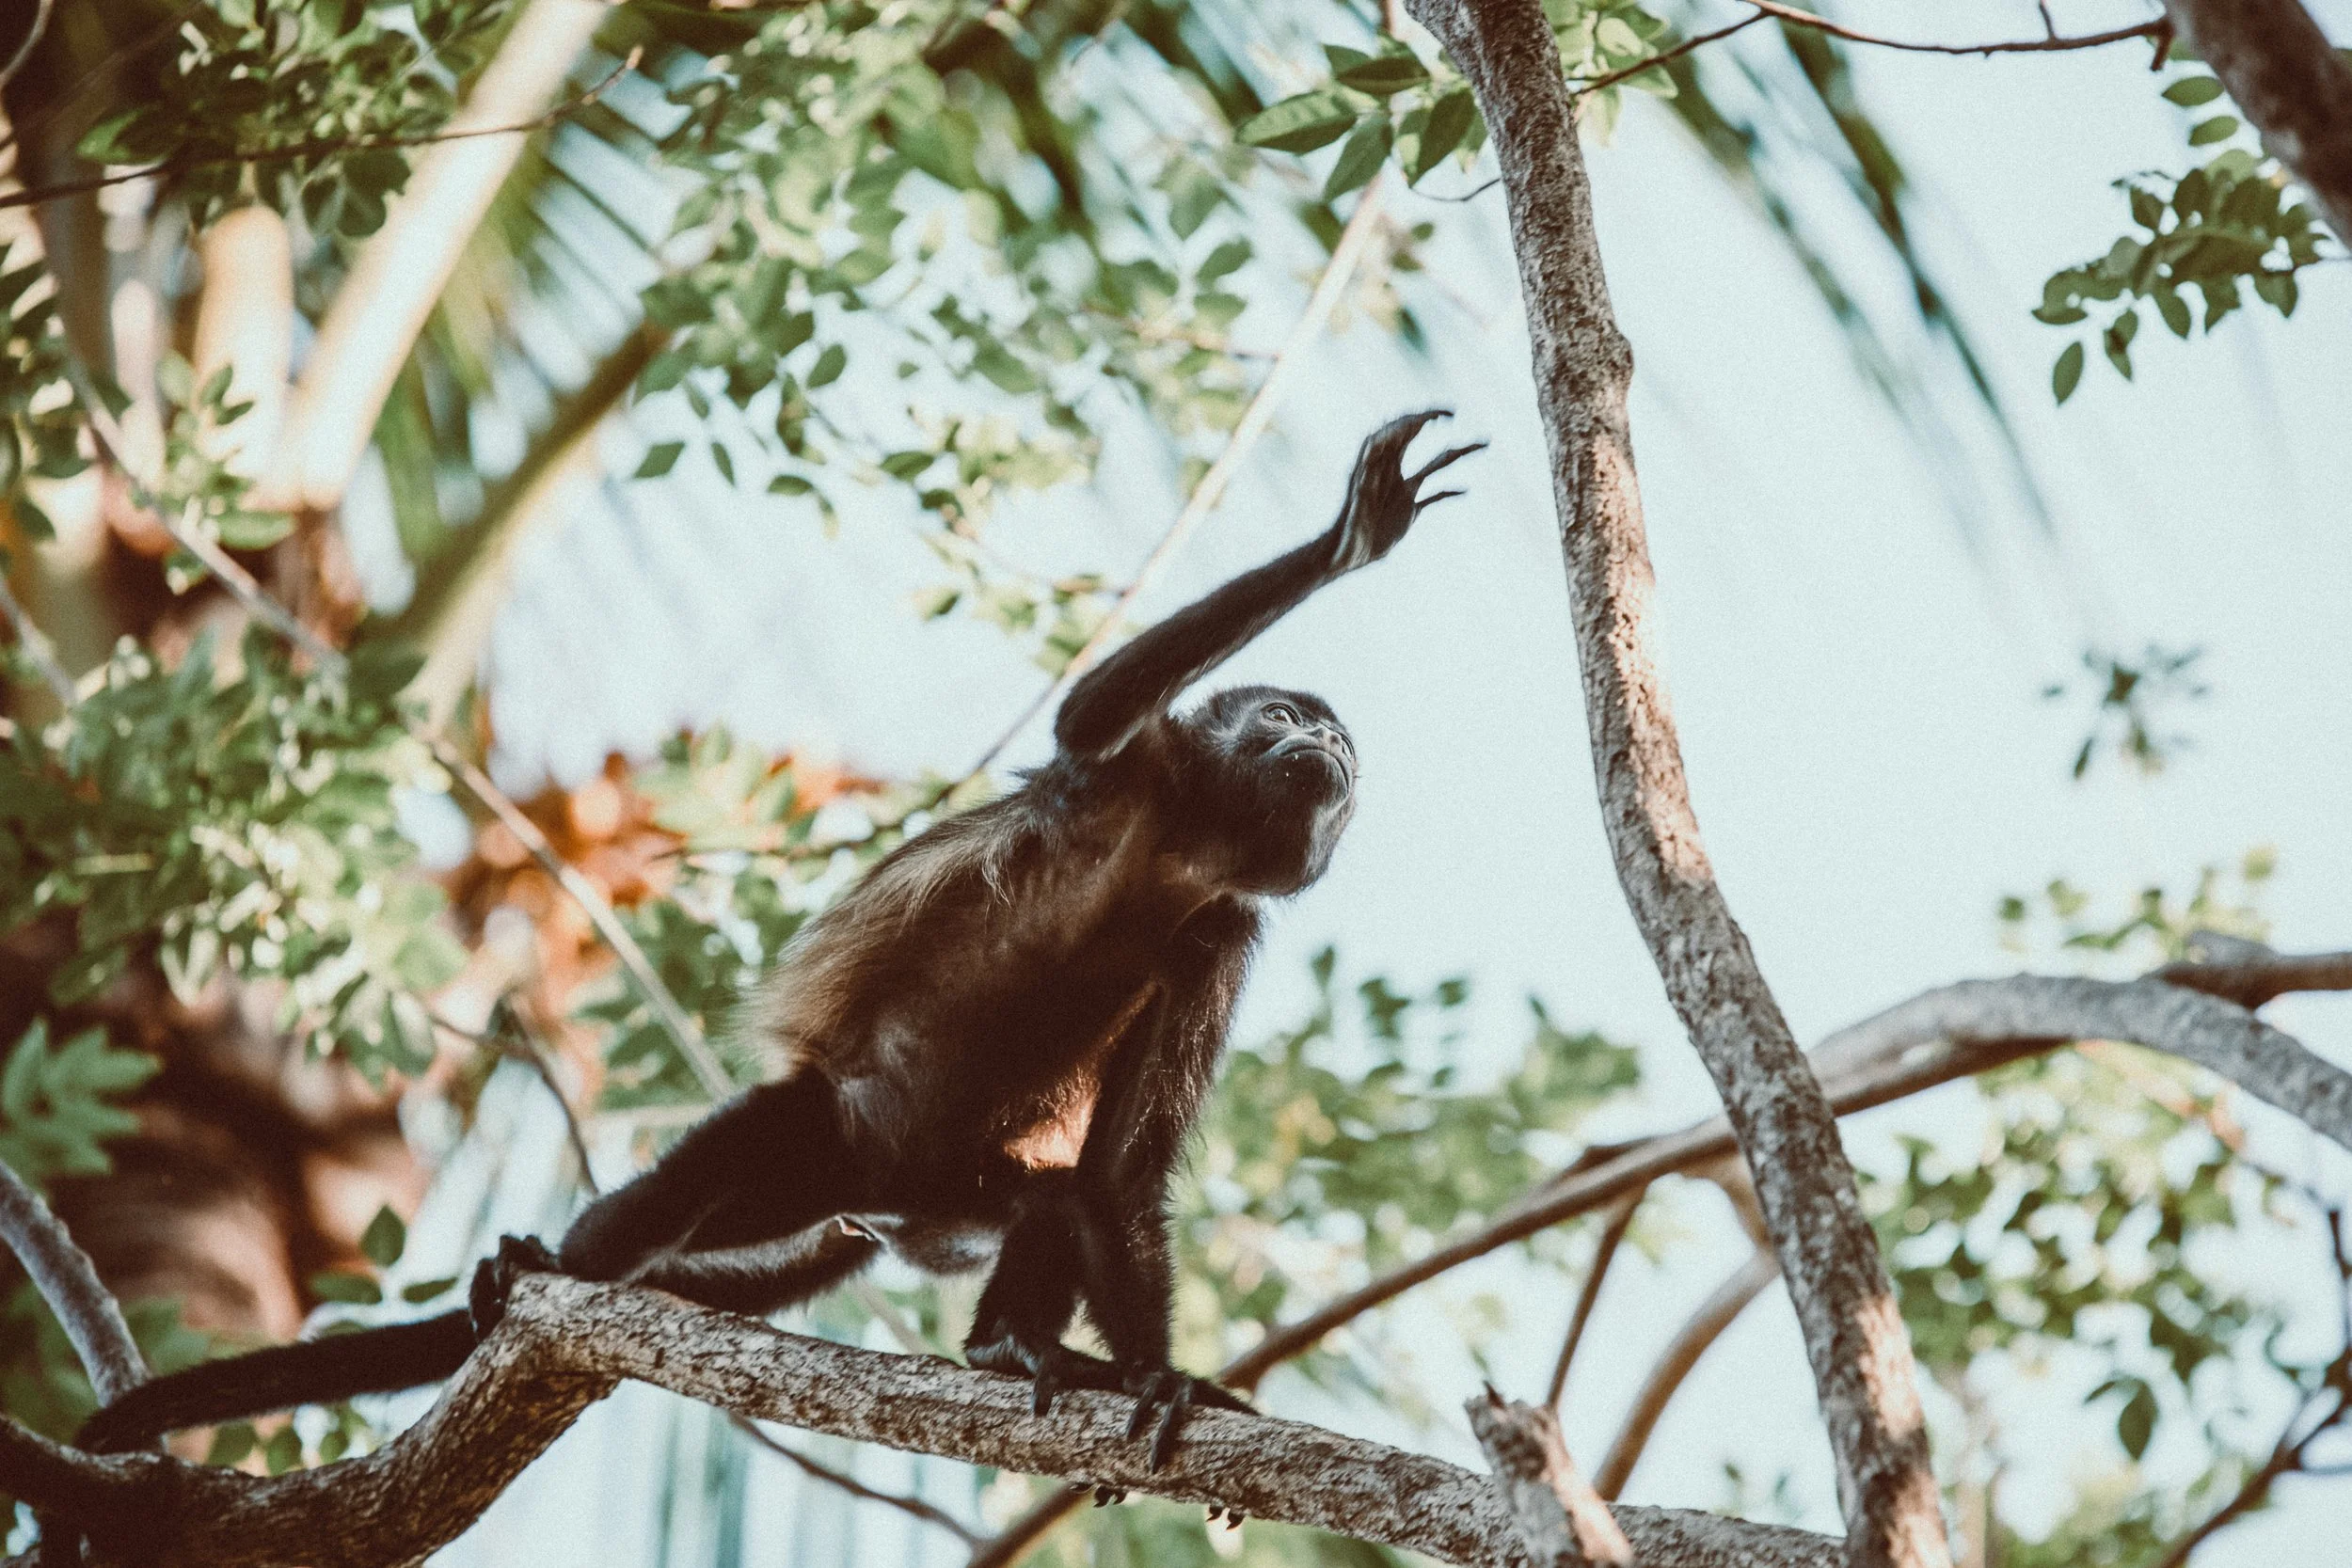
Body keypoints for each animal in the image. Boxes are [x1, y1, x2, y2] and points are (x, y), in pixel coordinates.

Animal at [74, 411, 1481, 1472]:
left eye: (1339, 753)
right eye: (1289, 716)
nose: (1330, 745)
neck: (1183, 846)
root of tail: (873, 1173)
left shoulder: (1223, 933)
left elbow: (1123, 1180)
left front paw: (1154, 1372)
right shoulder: (1127, 771)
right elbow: (1092, 707)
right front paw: (1353, 534)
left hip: (935, 1196)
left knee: (1044, 1198)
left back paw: (1009, 1346)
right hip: (819, 1131)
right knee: (703, 1172)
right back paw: (545, 1267)